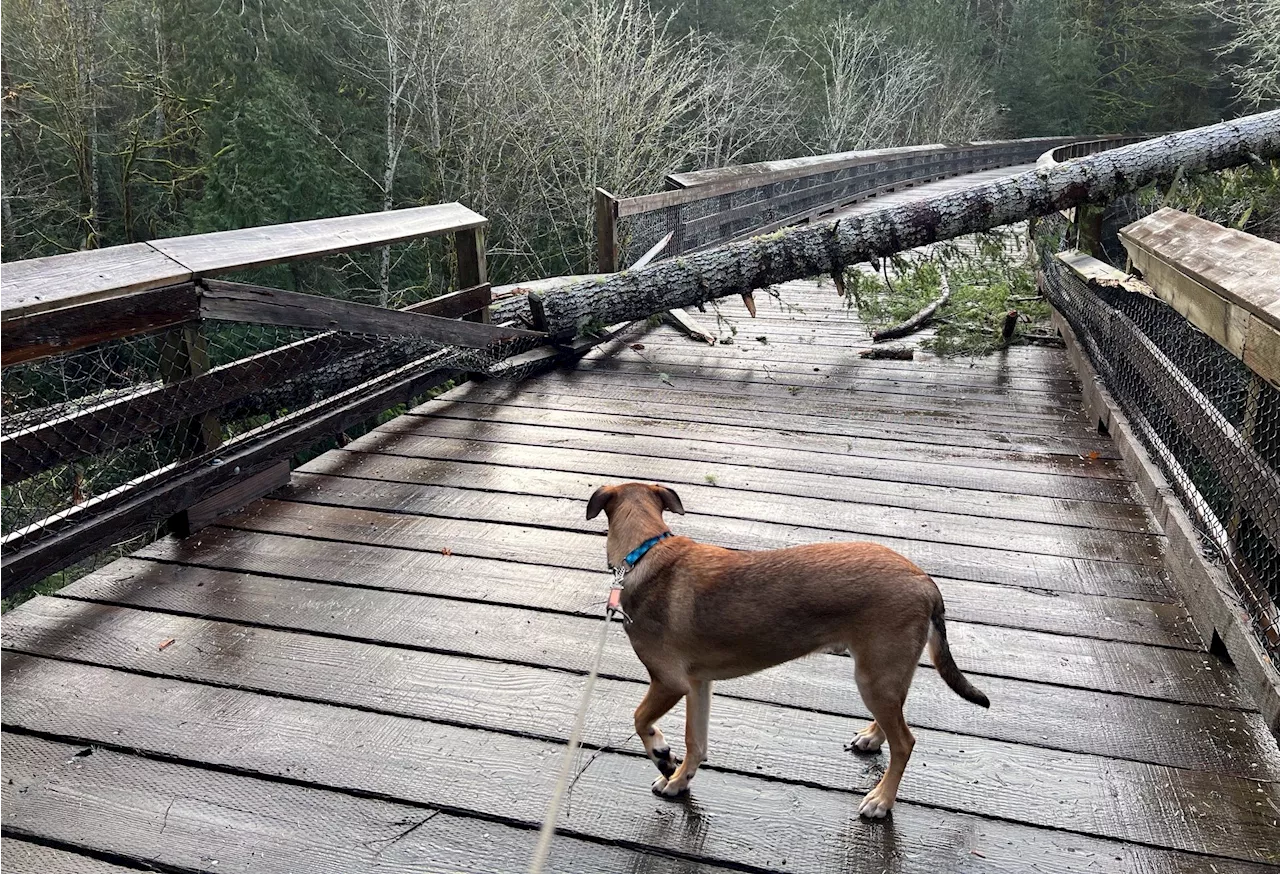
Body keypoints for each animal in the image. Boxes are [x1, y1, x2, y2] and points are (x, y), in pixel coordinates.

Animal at [586, 481, 993, 818]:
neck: (643, 553)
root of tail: (925, 582)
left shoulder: (668, 682)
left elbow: (640, 719)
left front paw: (661, 754)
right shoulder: (698, 685)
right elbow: (695, 742)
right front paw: (679, 780)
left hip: (873, 677)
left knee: (905, 742)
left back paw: (881, 799)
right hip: (884, 674)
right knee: (895, 719)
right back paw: (872, 737)